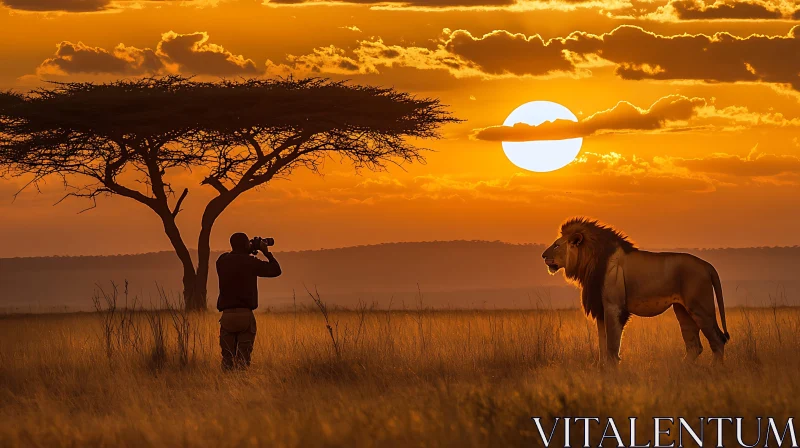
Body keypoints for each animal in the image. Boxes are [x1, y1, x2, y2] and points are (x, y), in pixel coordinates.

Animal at [540, 217, 728, 364]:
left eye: (556, 245)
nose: (543, 256)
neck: (589, 262)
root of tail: (707, 265)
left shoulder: (614, 307)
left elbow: (611, 347)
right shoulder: (600, 310)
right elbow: (602, 346)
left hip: (700, 307)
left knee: (718, 340)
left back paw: (713, 370)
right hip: (682, 310)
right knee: (694, 346)